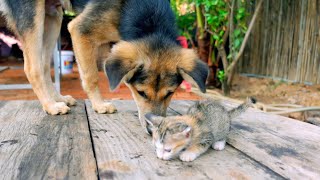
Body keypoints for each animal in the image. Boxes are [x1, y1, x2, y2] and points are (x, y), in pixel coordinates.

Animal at [0, 0, 209, 132]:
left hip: (53, 15)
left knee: (44, 65)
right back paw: (50, 105)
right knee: (32, 67)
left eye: (170, 94)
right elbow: (91, 76)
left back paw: (58, 98)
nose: (153, 131)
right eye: (140, 92)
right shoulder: (80, 30)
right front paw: (99, 105)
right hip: (34, 16)